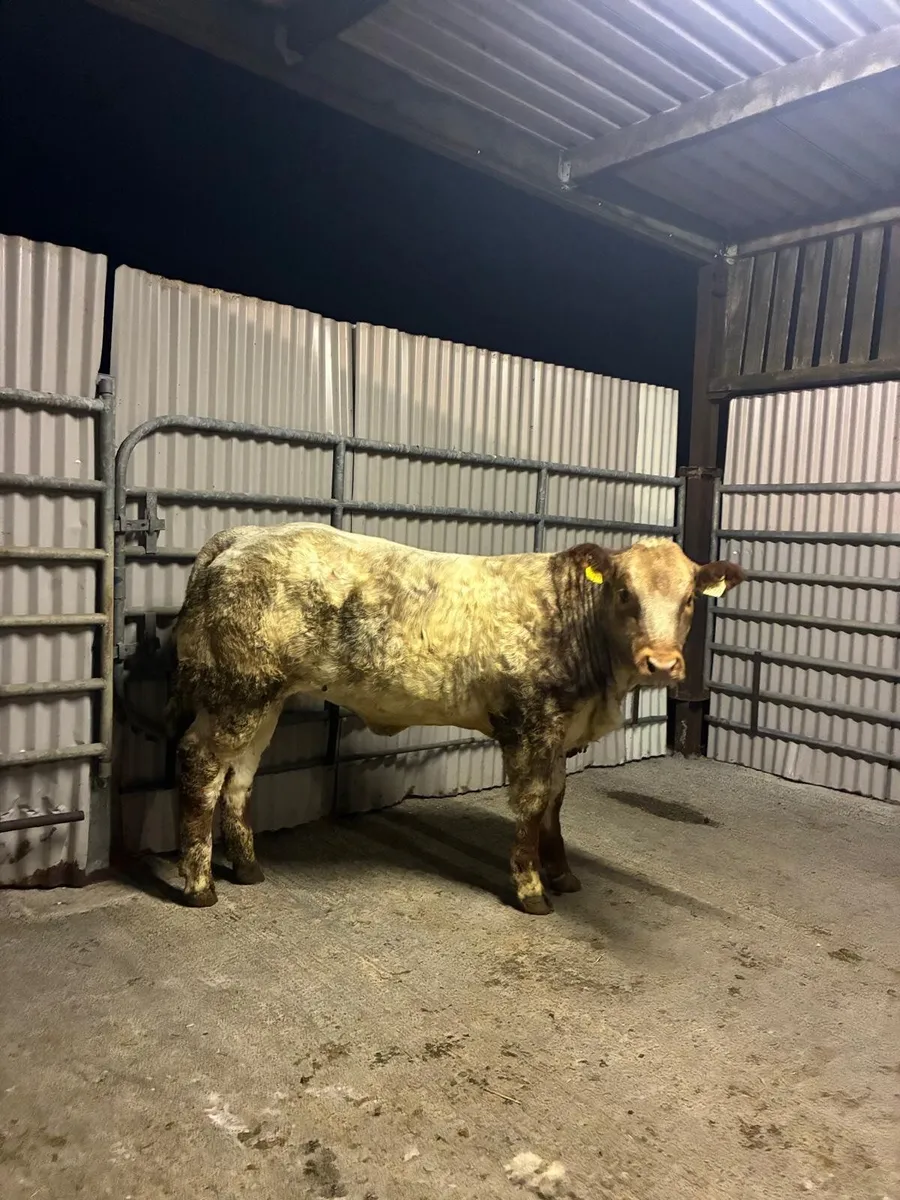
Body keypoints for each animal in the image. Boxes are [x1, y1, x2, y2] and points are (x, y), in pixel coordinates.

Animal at [167, 523, 743, 914]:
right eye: (625, 592)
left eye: (689, 599)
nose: (661, 663)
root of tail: (243, 535)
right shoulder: (530, 723)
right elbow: (533, 802)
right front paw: (532, 888)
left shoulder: (560, 728)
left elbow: (557, 800)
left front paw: (562, 874)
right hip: (236, 693)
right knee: (201, 765)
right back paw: (200, 886)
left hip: (263, 697)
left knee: (240, 775)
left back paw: (248, 868)